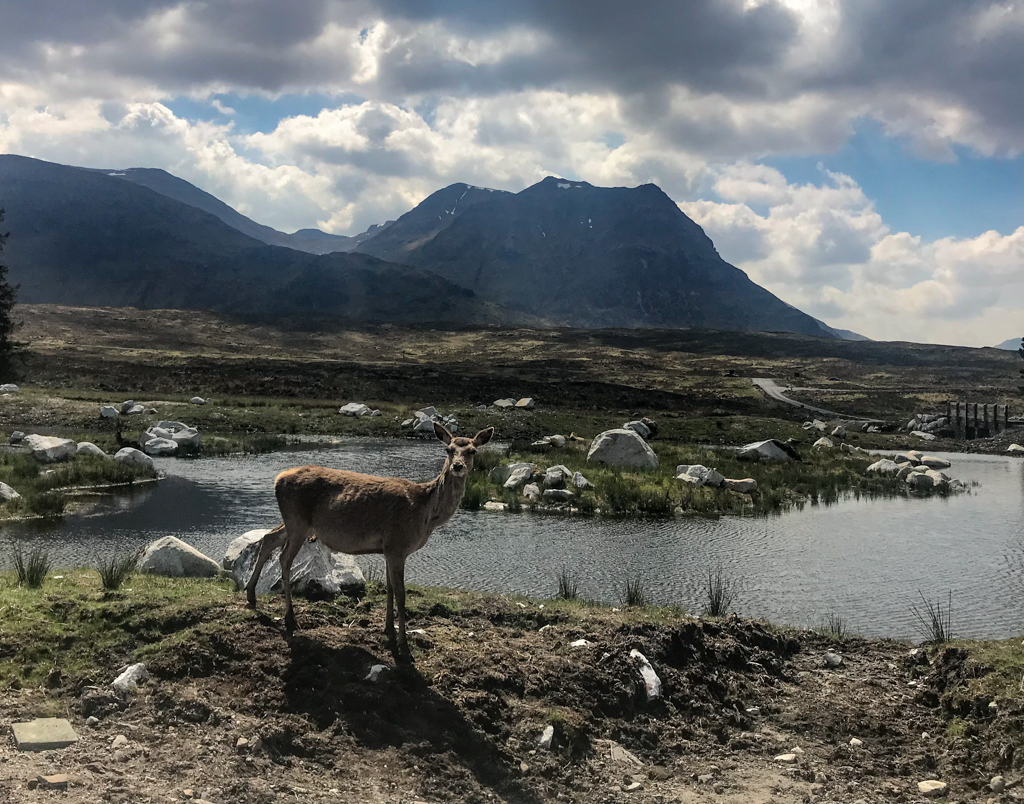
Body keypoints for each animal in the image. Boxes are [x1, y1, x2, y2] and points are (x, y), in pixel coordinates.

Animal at [243, 419, 491, 659]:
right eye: (448, 449)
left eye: (472, 451)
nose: (457, 466)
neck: (426, 514)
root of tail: (278, 479)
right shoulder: (397, 545)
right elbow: (401, 594)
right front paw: (404, 648)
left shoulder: (388, 549)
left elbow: (389, 590)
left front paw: (389, 630)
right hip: (298, 522)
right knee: (284, 558)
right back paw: (289, 618)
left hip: (294, 523)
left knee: (268, 538)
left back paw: (251, 595)